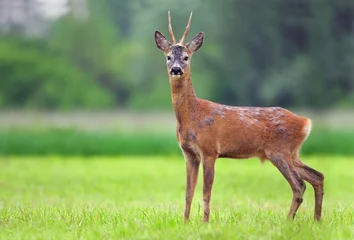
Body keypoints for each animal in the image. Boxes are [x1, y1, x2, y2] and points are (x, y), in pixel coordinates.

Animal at [153, 11, 324, 223]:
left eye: (186, 57)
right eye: (168, 56)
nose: (176, 69)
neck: (193, 115)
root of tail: (305, 122)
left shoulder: (209, 150)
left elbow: (206, 192)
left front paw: (205, 223)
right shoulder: (189, 153)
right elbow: (188, 193)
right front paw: (185, 223)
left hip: (279, 151)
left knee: (299, 184)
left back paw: (288, 222)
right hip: (292, 152)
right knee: (317, 176)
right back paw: (317, 220)